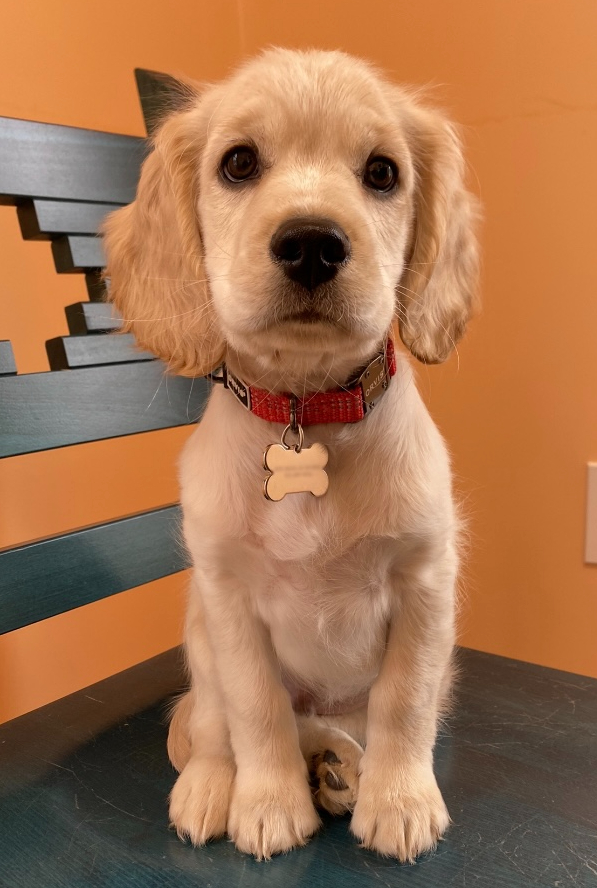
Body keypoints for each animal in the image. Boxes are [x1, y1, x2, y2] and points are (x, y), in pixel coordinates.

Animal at [101, 48, 474, 860]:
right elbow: (256, 712)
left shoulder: (425, 583)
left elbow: (403, 705)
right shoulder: (230, 602)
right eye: (238, 163)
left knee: (346, 723)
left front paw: (399, 800)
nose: (311, 243)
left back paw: (340, 767)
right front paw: (268, 803)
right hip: (199, 639)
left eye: (382, 173)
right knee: (221, 727)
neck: (306, 413)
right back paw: (228, 783)